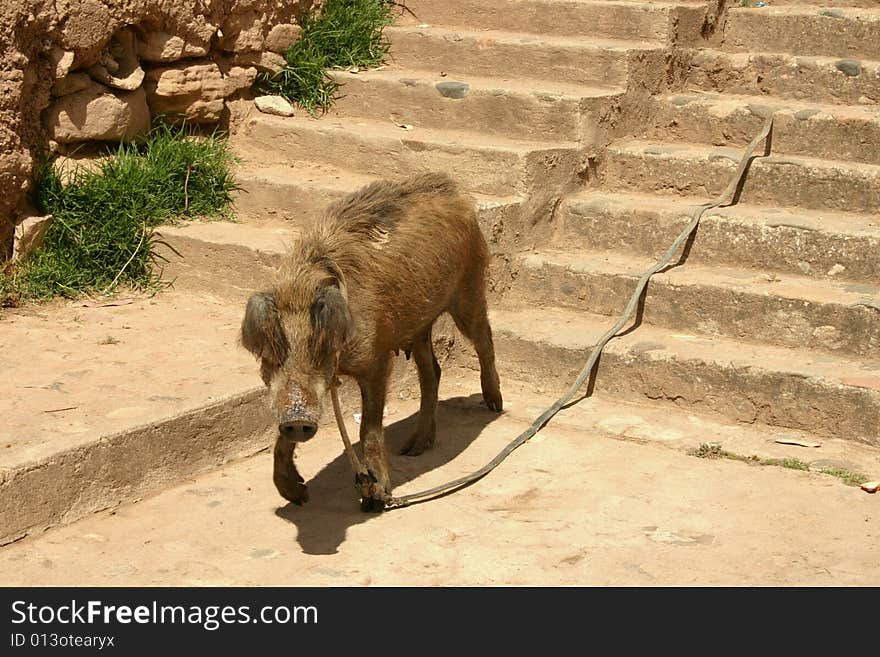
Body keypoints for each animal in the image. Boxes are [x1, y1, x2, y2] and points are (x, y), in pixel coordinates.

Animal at [239, 174, 502, 512]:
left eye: (318, 347)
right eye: (274, 351)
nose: (297, 419)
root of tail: (455, 191)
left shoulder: (377, 360)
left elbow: (369, 429)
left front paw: (375, 498)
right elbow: (281, 436)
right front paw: (297, 497)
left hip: (469, 288)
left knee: (484, 340)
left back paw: (494, 406)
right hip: (418, 324)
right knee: (432, 372)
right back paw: (414, 448)